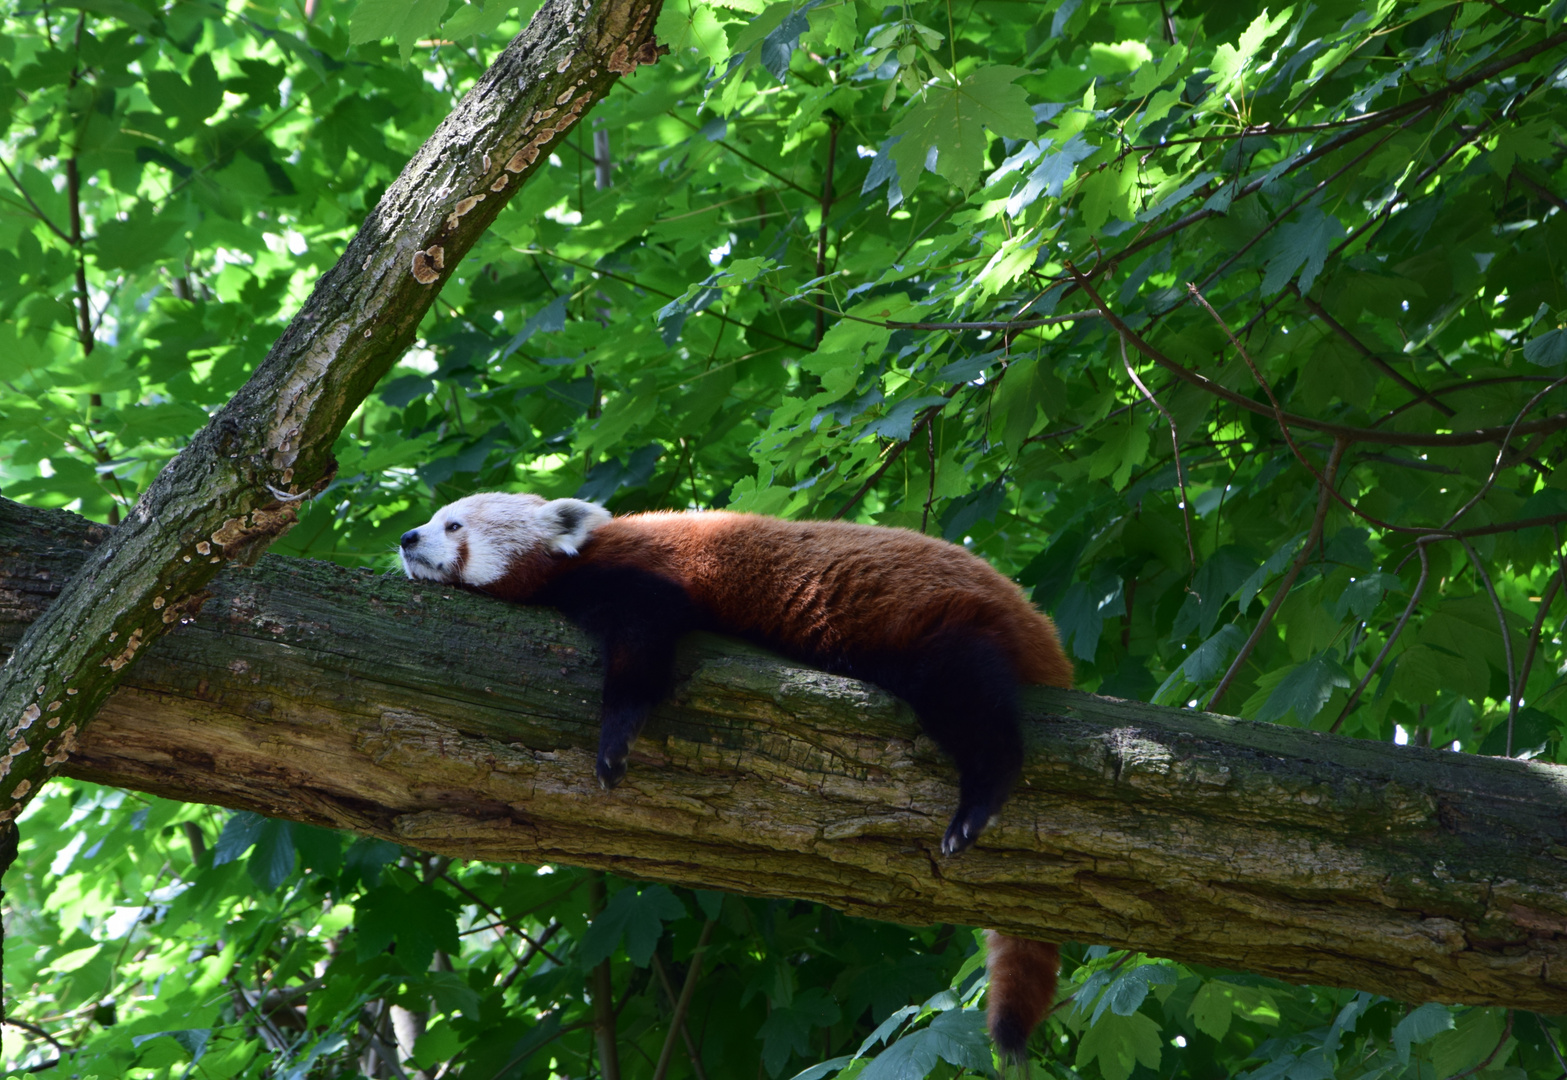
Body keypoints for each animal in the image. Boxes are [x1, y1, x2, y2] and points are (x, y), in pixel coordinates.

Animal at [398, 492, 1071, 1059]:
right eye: (432, 519)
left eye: (452, 525)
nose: (406, 538)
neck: (582, 556)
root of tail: (1029, 614)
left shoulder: (645, 580)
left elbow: (644, 649)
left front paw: (615, 740)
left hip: (934, 626)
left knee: (975, 708)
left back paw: (977, 802)